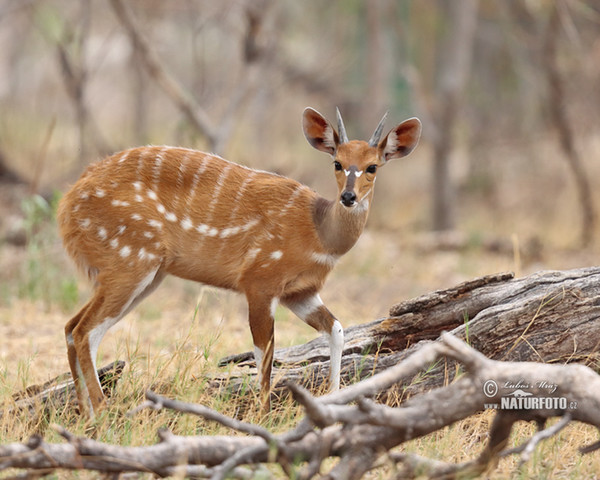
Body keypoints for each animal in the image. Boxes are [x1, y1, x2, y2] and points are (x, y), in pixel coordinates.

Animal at [57, 109, 422, 416]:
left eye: (372, 167)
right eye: (337, 162)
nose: (348, 197)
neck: (319, 233)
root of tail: (67, 203)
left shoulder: (299, 292)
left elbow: (336, 329)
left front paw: (333, 399)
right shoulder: (259, 282)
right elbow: (265, 353)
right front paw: (262, 417)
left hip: (144, 273)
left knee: (73, 326)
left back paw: (85, 415)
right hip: (131, 261)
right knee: (86, 330)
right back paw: (103, 414)